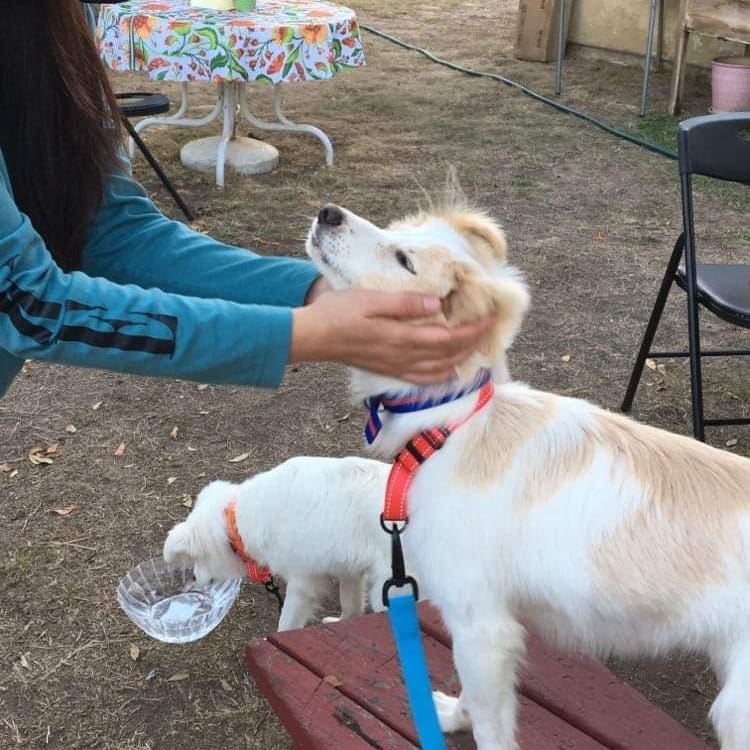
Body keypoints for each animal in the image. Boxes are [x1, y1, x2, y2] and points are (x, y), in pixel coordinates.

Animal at [165, 456, 394, 632]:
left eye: (196, 559)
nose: (194, 578)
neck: (238, 522)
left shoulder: (302, 584)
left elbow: (285, 624)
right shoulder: (348, 571)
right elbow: (350, 605)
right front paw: (342, 624)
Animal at [304, 195, 750, 750]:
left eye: (404, 260)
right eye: (392, 228)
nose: (327, 212)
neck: (453, 426)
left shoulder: (481, 623)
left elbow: (492, 725)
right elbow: (472, 698)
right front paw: (452, 717)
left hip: (736, 709)